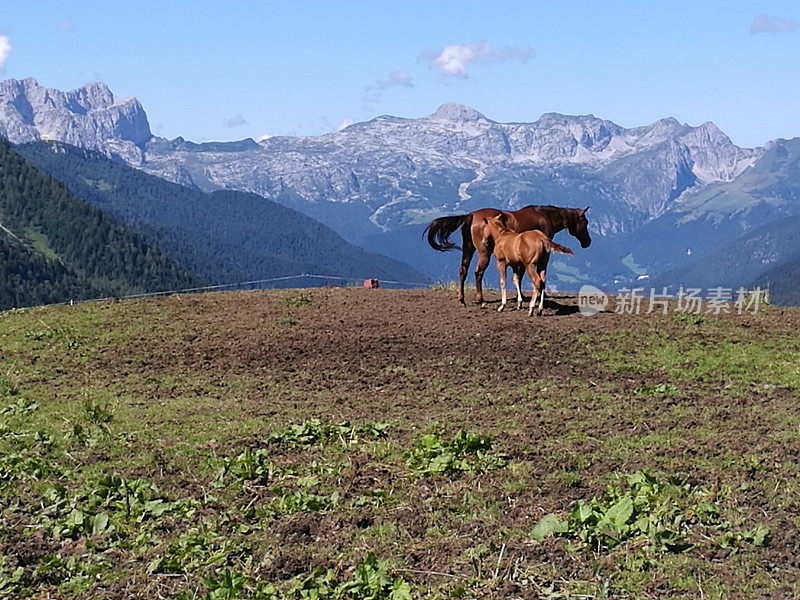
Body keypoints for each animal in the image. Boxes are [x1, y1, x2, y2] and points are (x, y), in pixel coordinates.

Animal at [428, 205, 592, 304]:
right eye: (586, 222)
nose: (588, 242)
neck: (545, 216)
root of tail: (471, 215)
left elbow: (518, 275)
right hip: (484, 253)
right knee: (478, 272)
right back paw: (480, 298)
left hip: (468, 250)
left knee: (463, 270)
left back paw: (462, 299)